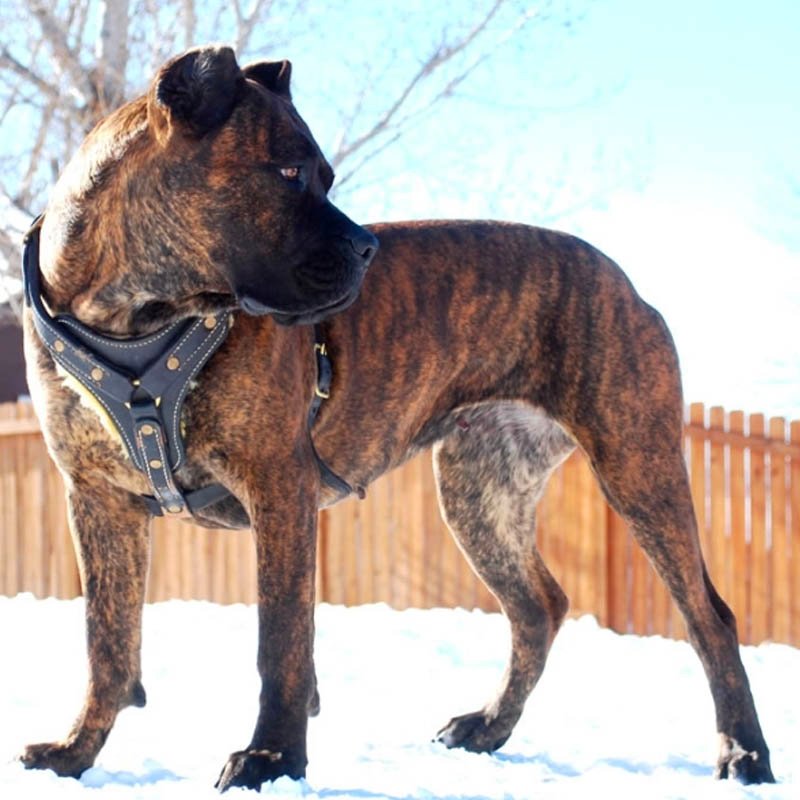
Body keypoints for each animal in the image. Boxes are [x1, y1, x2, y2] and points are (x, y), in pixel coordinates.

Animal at [18, 45, 774, 791]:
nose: (365, 248)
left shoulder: (278, 487)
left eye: (326, 176)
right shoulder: (97, 500)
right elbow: (108, 641)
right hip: (481, 492)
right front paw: (76, 752)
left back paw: (745, 753)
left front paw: (272, 759)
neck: (133, 319)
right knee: (539, 607)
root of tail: (624, 281)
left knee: (709, 617)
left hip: (637, 465)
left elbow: (281, 640)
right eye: (289, 172)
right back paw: (489, 726)